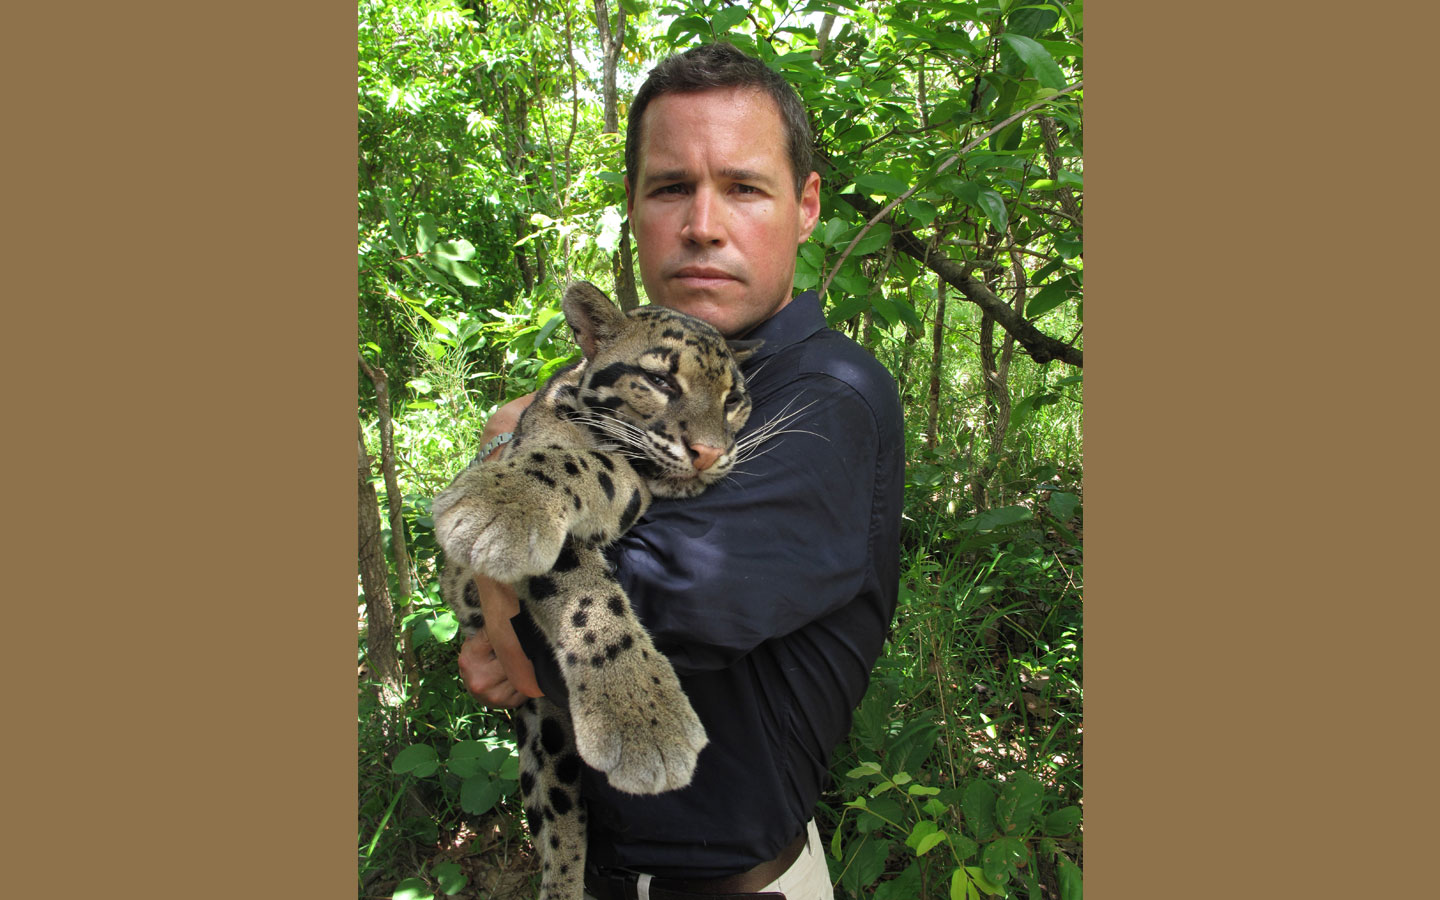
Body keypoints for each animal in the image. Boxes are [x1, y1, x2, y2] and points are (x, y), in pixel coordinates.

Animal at [429, 280, 760, 898]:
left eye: (733, 400)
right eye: (661, 382)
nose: (710, 452)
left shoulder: (632, 485)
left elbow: (601, 468)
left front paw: (640, 715)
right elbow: (579, 550)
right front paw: (642, 714)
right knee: (557, 824)